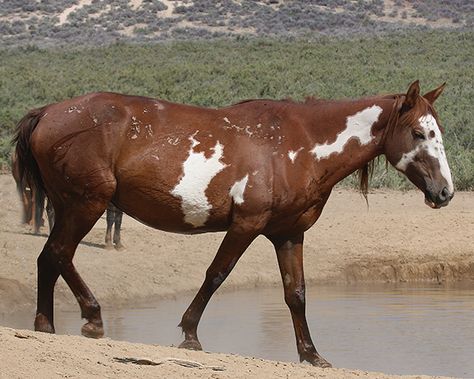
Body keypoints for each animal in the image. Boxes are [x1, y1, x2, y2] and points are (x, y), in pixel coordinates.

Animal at [12, 80, 454, 368]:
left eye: (438, 133)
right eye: (419, 133)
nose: (445, 192)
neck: (299, 145)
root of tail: (47, 112)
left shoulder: (288, 234)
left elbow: (296, 293)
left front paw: (311, 354)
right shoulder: (246, 225)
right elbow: (216, 274)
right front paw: (190, 335)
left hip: (72, 206)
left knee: (50, 258)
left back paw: (48, 324)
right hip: (85, 203)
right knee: (58, 254)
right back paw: (89, 318)